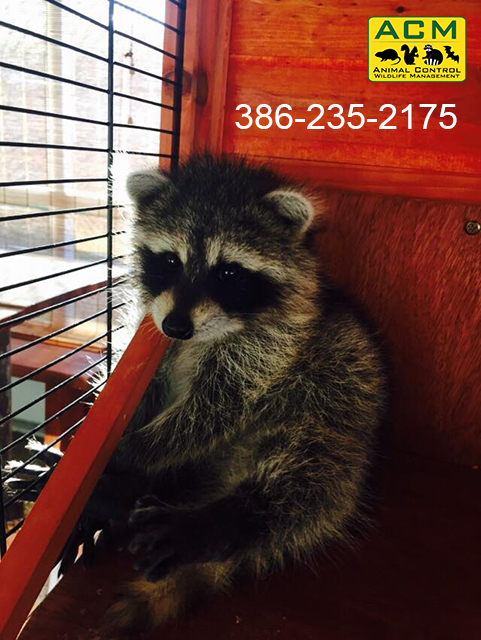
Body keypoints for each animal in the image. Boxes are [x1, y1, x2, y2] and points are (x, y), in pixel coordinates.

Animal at [82, 155, 388, 635]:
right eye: (170, 260)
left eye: (227, 272)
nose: (176, 327)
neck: (201, 336)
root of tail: (227, 477)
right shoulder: (151, 335)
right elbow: (140, 390)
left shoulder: (270, 350)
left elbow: (209, 414)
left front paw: (129, 453)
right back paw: (132, 495)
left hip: (343, 401)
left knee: (311, 476)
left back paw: (221, 517)